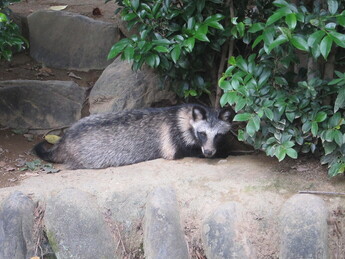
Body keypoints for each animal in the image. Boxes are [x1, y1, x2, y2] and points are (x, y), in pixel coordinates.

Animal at [33, 104, 232, 170]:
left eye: (218, 136)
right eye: (202, 134)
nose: (208, 152)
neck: (185, 116)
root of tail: (64, 139)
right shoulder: (172, 136)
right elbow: (180, 152)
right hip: (87, 156)